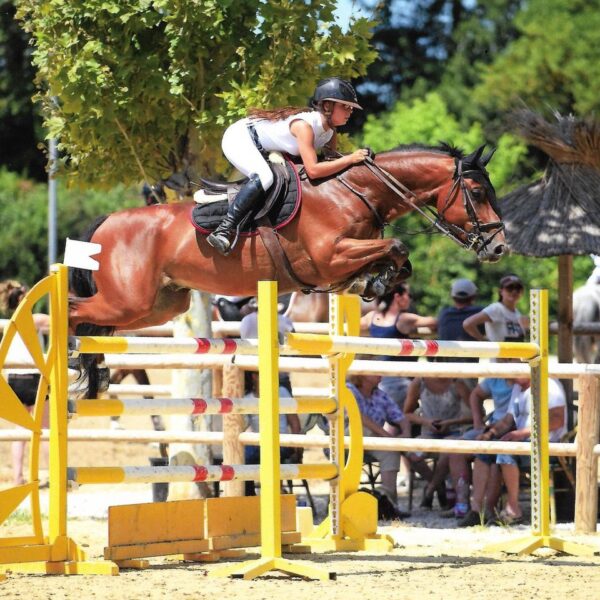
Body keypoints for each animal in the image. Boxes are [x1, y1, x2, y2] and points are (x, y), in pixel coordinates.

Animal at [67, 144, 506, 396]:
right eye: (478, 192)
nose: (499, 247)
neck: (355, 192)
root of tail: (107, 221)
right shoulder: (330, 256)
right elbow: (397, 247)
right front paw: (375, 278)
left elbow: (398, 259)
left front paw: (372, 281)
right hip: (126, 301)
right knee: (72, 310)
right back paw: (69, 354)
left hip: (158, 306)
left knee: (97, 325)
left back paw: (94, 369)